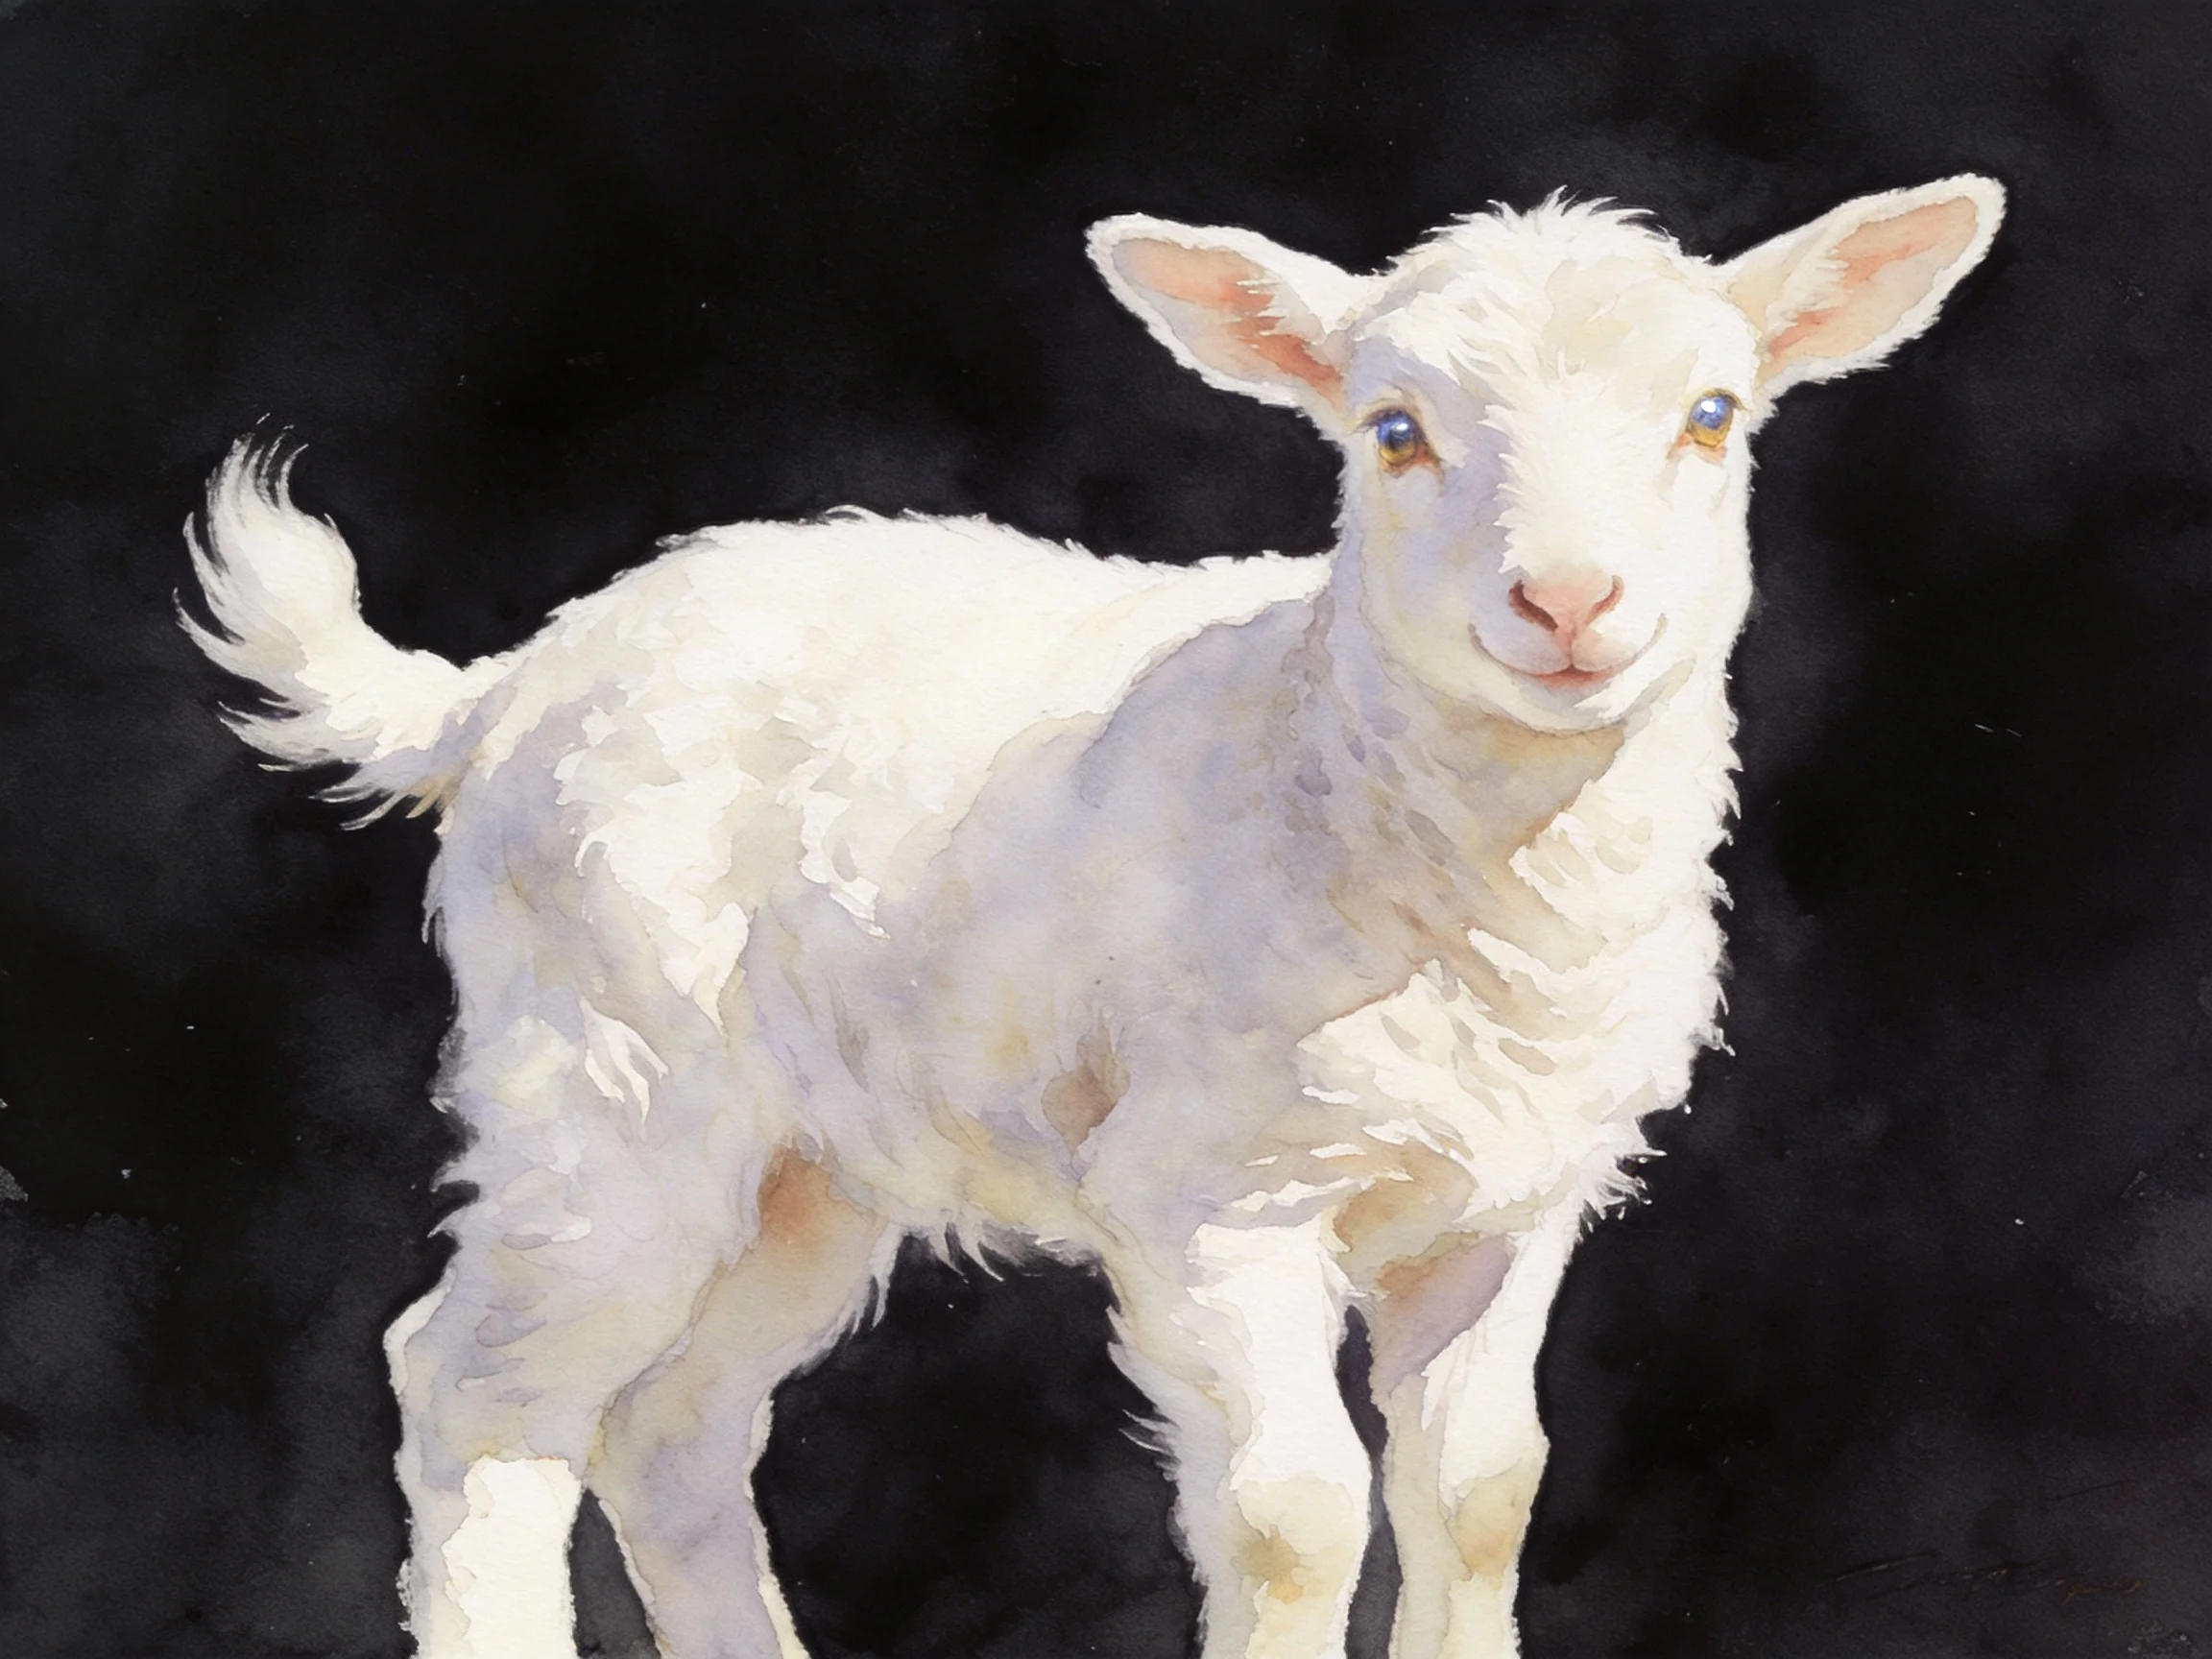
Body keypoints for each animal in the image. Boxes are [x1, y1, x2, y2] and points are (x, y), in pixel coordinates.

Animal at [183, 175, 2003, 1659]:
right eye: (1391, 431)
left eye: (1710, 415)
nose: (1566, 603)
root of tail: (508, 683)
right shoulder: (1208, 1192)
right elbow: (1294, 1519)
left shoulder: (1507, 1200)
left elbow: (1481, 1494)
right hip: (607, 1083)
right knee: (479, 1394)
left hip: (806, 1164)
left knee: (674, 1426)